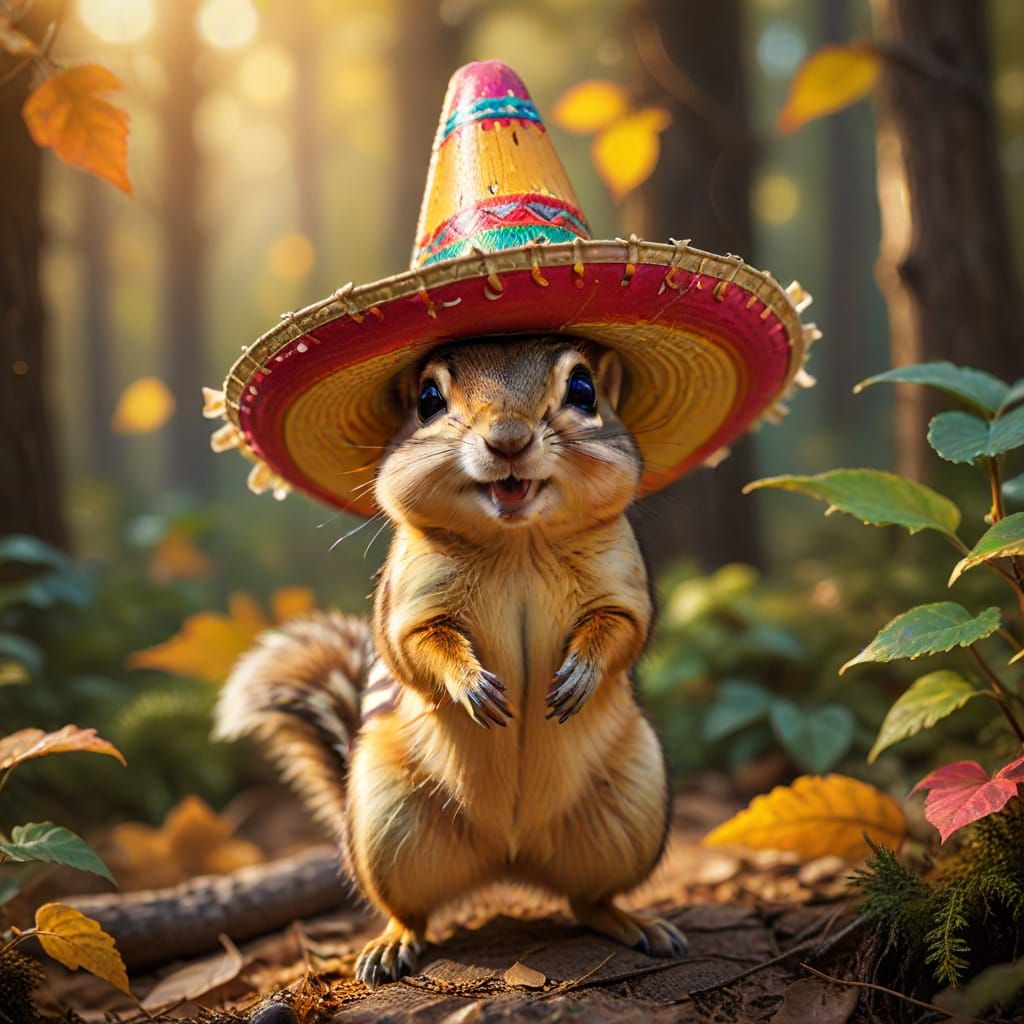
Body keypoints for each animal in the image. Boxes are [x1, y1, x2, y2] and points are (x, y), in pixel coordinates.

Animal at [214, 334, 687, 987]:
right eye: (428, 400)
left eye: (584, 389)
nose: (508, 439)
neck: (517, 541)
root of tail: (510, 859)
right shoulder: (410, 603)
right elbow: (422, 646)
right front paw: (471, 685)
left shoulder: (624, 585)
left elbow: (618, 629)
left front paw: (581, 674)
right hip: (388, 827)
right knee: (410, 910)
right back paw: (391, 944)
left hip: (631, 813)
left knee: (589, 899)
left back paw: (633, 922)